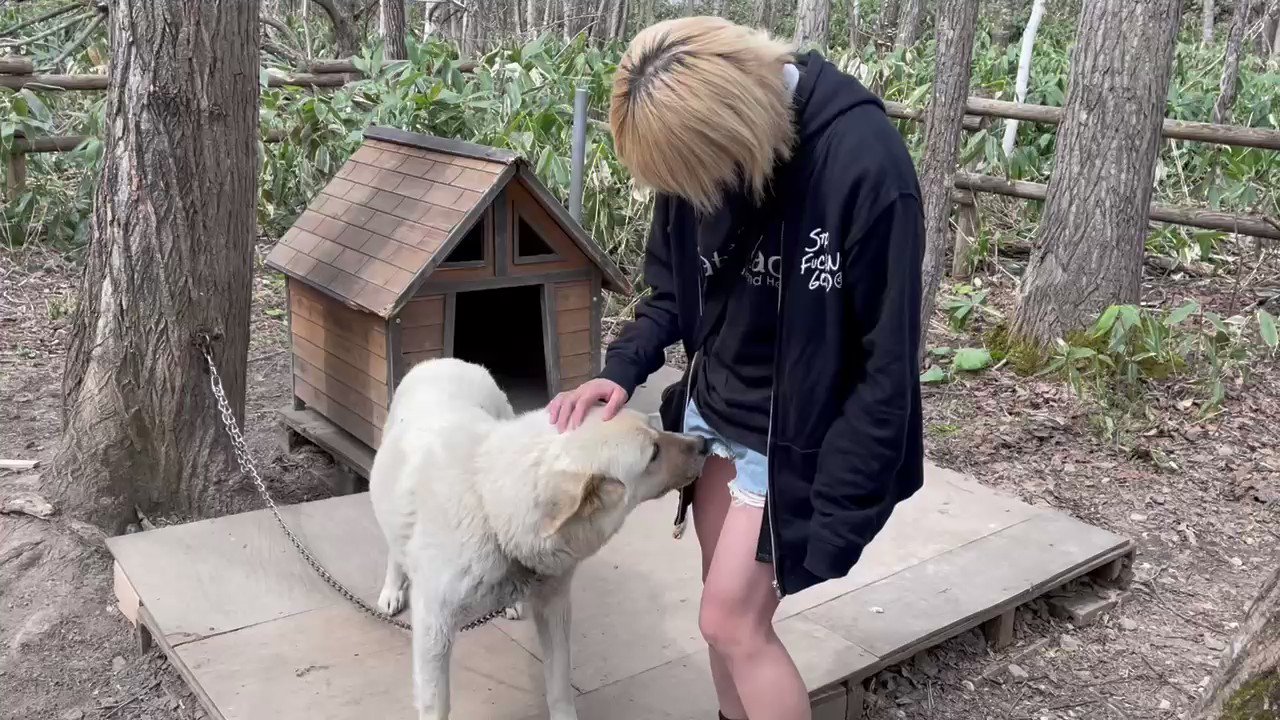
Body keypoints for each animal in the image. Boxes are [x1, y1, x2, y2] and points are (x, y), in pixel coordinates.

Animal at [368, 356, 711, 712]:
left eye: (656, 430)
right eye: (653, 452)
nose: (705, 443)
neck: (491, 511)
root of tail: (446, 360)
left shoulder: (554, 607)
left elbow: (559, 686)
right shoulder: (433, 631)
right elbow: (437, 704)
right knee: (394, 546)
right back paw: (392, 588)